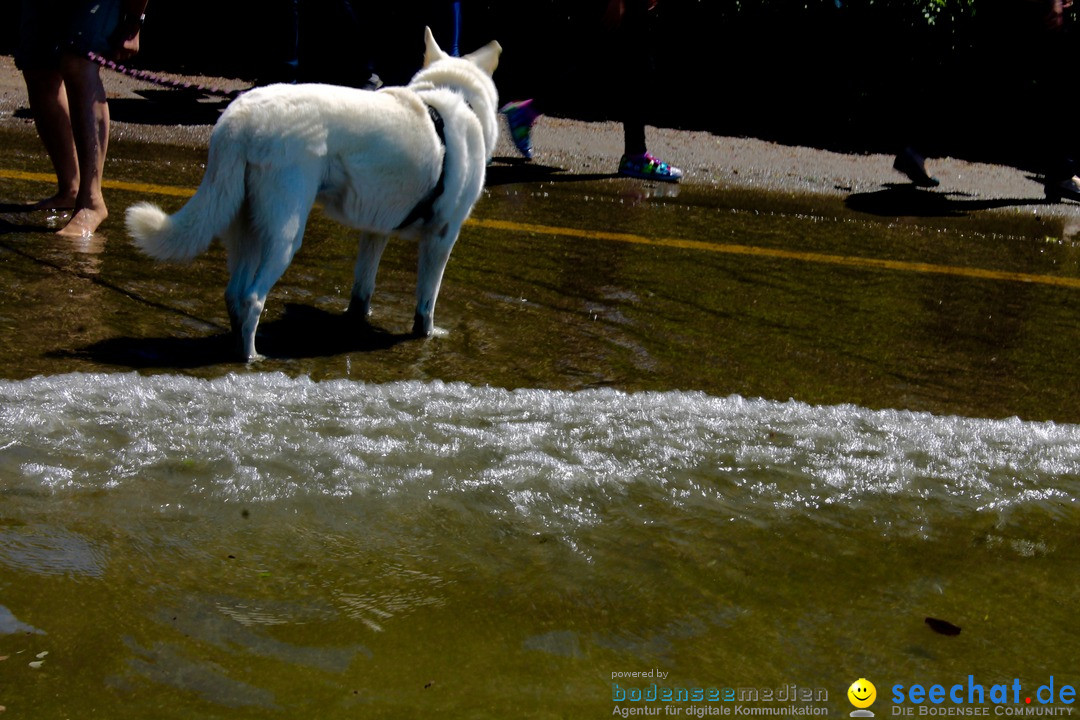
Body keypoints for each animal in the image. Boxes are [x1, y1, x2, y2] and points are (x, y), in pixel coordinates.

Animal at [126, 28, 501, 360]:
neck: (452, 95)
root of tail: (239, 117)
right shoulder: (441, 238)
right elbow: (425, 309)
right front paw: (427, 337)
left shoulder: (375, 233)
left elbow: (361, 295)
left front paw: (357, 321)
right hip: (285, 236)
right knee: (252, 299)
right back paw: (252, 357)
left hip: (245, 227)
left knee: (234, 295)